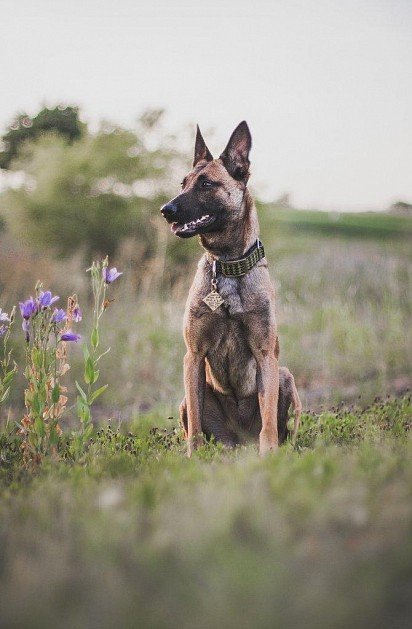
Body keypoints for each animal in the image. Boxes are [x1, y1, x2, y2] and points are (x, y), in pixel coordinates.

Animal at [160, 120, 300, 454]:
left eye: (206, 184)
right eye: (183, 183)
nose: (165, 210)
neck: (227, 265)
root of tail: (238, 441)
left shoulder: (266, 355)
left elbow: (268, 421)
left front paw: (269, 455)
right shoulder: (193, 355)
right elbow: (196, 426)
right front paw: (193, 456)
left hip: (285, 376)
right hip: (186, 398)